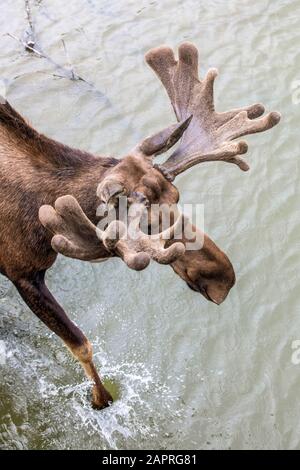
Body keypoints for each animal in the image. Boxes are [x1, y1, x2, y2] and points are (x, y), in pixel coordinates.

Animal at [0, 43, 282, 408]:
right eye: (147, 225)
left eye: (177, 196)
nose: (224, 277)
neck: (40, 212)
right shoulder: (22, 271)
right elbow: (81, 344)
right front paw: (101, 399)